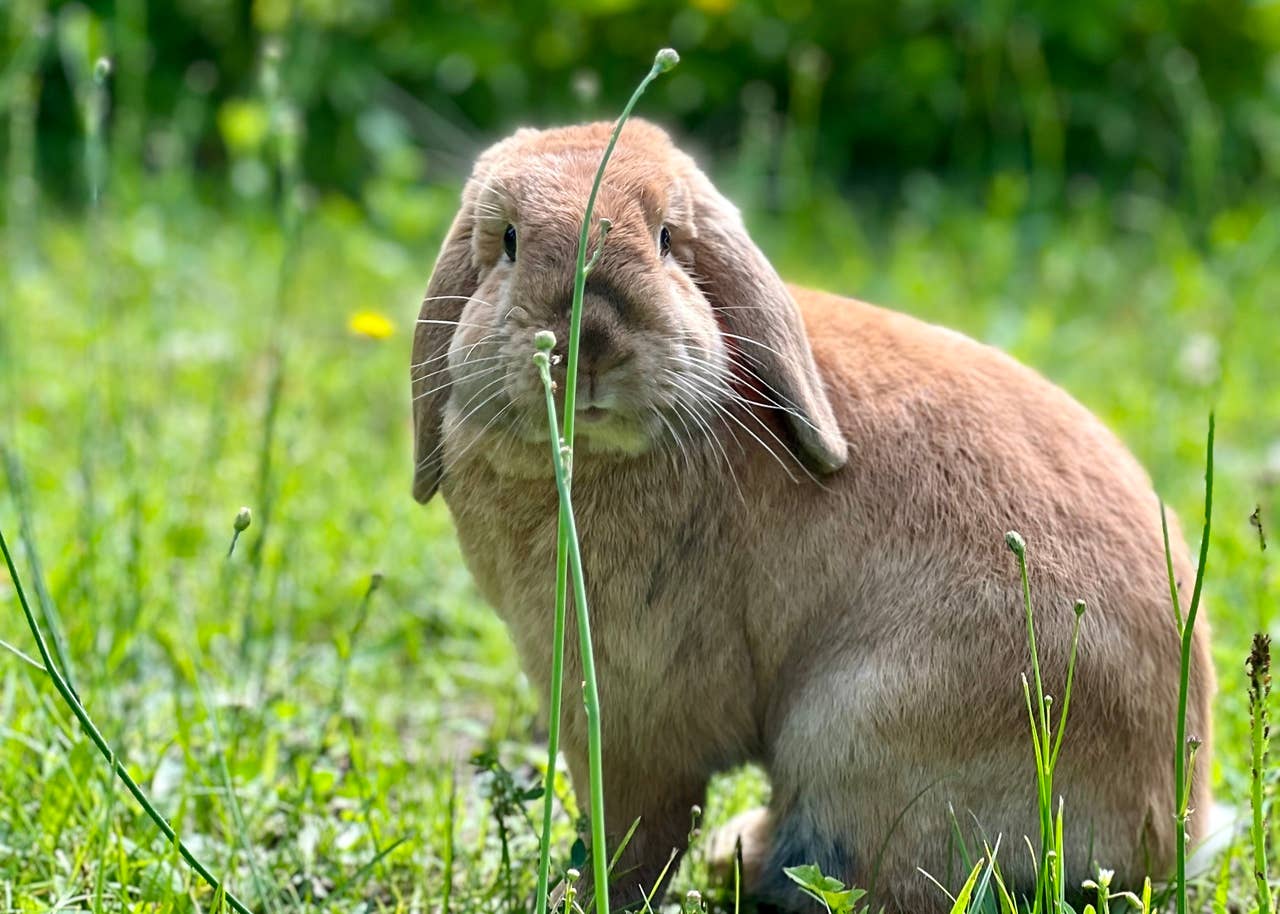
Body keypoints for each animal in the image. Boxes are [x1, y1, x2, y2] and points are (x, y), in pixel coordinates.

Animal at [409, 119, 1215, 913]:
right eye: (509, 241)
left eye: (666, 239)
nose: (590, 345)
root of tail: (1168, 830)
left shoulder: (634, 716)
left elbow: (635, 832)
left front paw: (579, 894)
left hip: (857, 735)